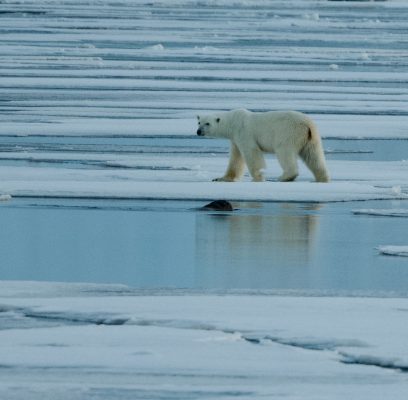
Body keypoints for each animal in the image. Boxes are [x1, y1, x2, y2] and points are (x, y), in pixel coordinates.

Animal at [196, 109, 330, 184]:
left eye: (207, 123)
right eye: (199, 122)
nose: (198, 131)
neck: (233, 122)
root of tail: (307, 125)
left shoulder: (244, 133)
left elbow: (251, 154)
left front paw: (257, 178)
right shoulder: (235, 139)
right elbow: (236, 158)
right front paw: (221, 178)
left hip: (288, 133)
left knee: (284, 152)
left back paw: (285, 177)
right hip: (311, 138)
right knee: (314, 156)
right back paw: (322, 178)